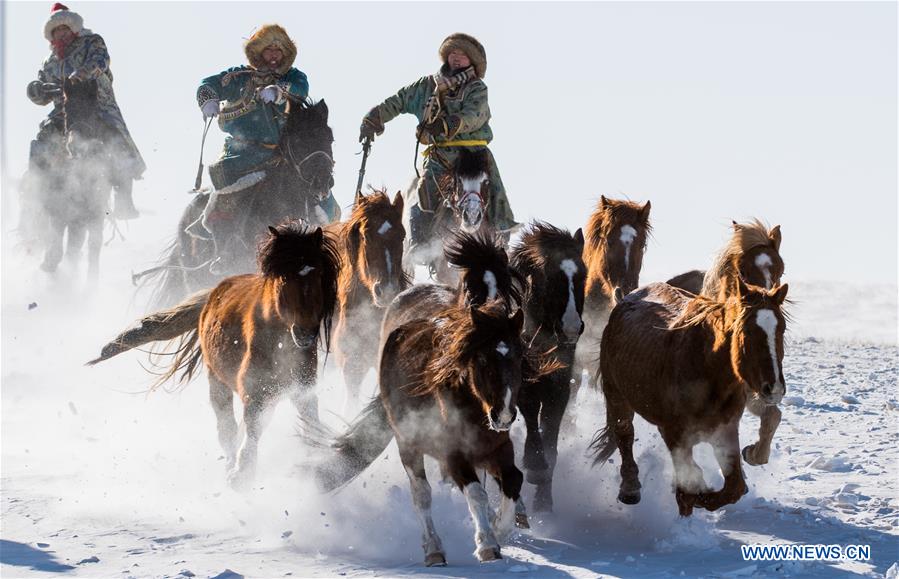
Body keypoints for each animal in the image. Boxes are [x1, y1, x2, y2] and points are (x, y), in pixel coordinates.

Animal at [90, 222, 342, 490]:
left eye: (318, 275)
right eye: (284, 277)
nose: (305, 332)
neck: (279, 341)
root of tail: (213, 292)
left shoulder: (303, 389)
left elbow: (309, 421)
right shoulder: (254, 390)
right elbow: (252, 427)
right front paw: (241, 474)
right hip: (217, 380)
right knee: (226, 427)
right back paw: (231, 462)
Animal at [510, 222, 588, 512]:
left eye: (582, 276)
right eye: (551, 278)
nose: (571, 328)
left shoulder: (560, 387)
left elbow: (551, 433)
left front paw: (544, 501)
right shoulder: (524, 385)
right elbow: (532, 416)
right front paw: (534, 464)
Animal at [596, 280, 792, 516]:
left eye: (781, 328)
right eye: (746, 330)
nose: (774, 388)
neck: (705, 369)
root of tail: (623, 300)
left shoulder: (725, 432)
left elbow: (734, 488)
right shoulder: (675, 434)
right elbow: (689, 488)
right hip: (616, 396)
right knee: (624, 434)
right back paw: (630, 488)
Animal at [664, 218, 784, 466]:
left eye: (780, 270)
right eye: (742, 270)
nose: (766, 302)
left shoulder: (757, 389)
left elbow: (772, 416)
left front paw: (753, 454)